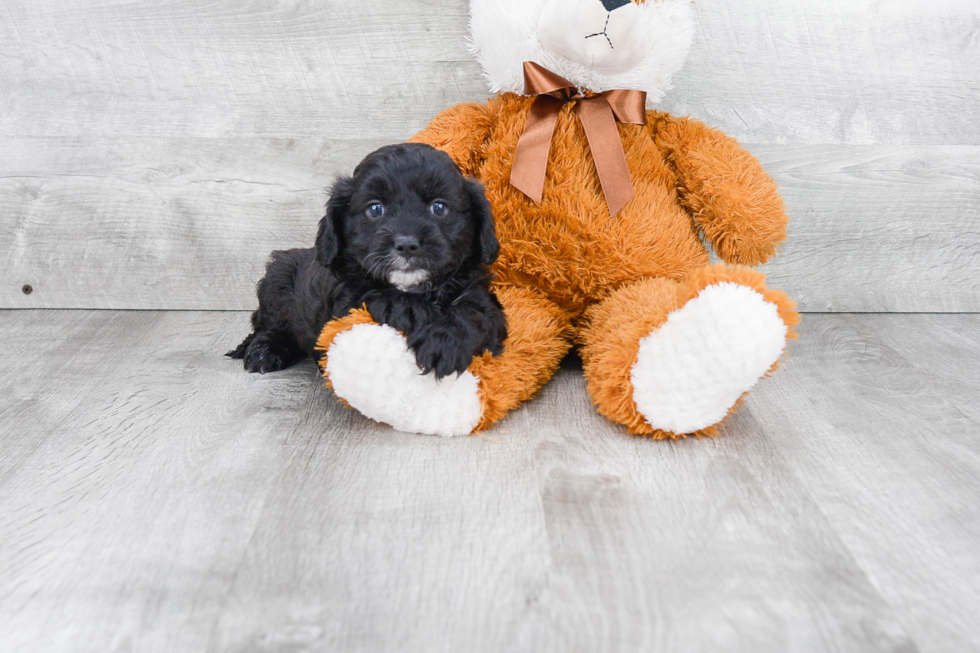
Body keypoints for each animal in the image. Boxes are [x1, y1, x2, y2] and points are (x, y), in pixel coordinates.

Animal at [227, 143, 510, 376]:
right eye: (375, 209)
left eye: (439, 207)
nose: (406, 244)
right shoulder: (343, 305)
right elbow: (373, 293)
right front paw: (411, 309)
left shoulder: (481, 297)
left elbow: (475, 315)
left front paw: (444, 343)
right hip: (278, 277)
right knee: (268, 324)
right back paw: (264, 351)